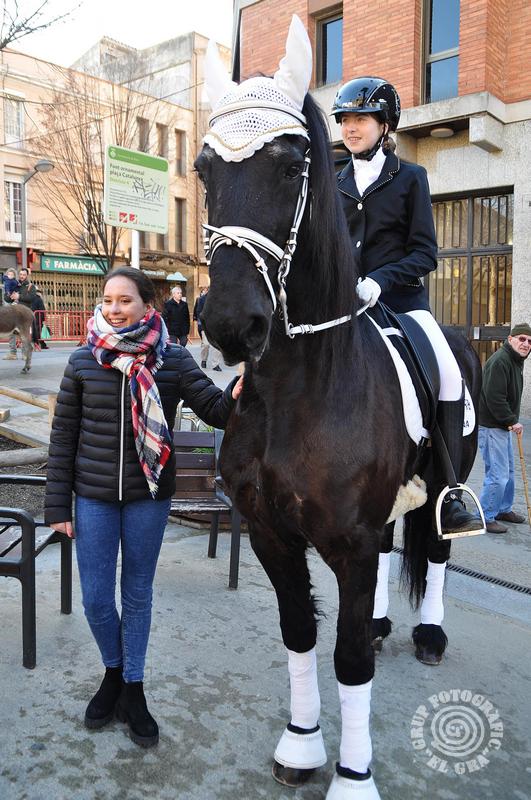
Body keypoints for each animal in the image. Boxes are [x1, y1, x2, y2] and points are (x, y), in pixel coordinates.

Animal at [196, 18, 481, 799]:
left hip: (441, 491)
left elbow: (349, 662)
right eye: (203, 168)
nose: (230, 324)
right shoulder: (273, 534)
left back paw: (428, 634)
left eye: (293, 163)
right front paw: (300, 746)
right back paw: (385, 623)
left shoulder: (347, 542)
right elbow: (300, 634)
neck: (299, 390)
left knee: (436, 550)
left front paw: (354, 778)